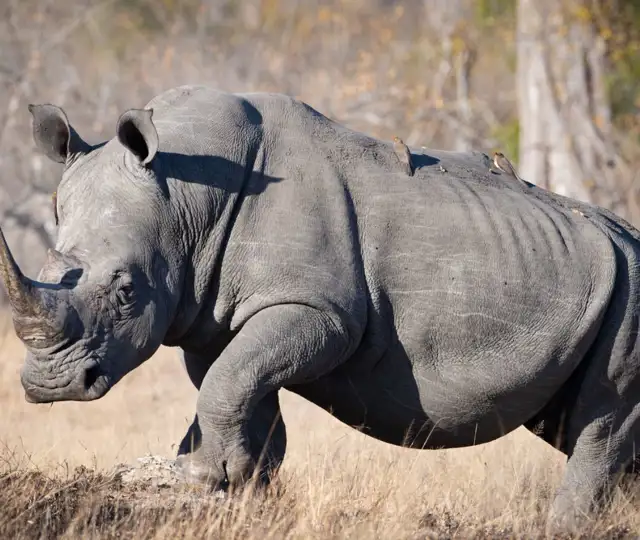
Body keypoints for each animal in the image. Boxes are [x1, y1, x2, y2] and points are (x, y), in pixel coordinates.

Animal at [0, 85, 638, 531]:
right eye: (51, 266)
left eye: (126, 290)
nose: (53, 386)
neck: (186, 194)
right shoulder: (210, 318)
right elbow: (236, 387)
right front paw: (232, 482)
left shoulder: (319, 311)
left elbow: (231, 382)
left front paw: (206, 475)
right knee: (581, 425)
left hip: (629, 292)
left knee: (601, 419)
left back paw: (566, 529)